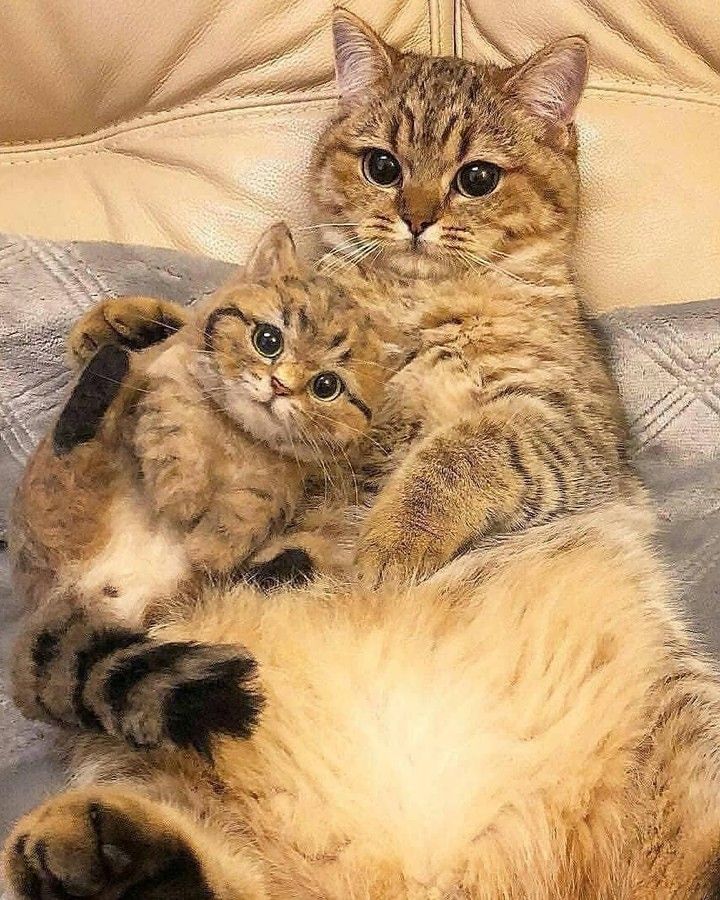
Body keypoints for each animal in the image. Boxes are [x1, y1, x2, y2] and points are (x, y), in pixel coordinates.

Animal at [4, 8, 720, 900]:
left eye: (476, 178)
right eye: (384, 165)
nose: (415, 214)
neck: (413, 301)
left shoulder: (559, 421)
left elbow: (455, 452)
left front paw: (389, 543)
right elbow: (238, 320)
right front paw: (132, 322)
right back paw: (110, 855)